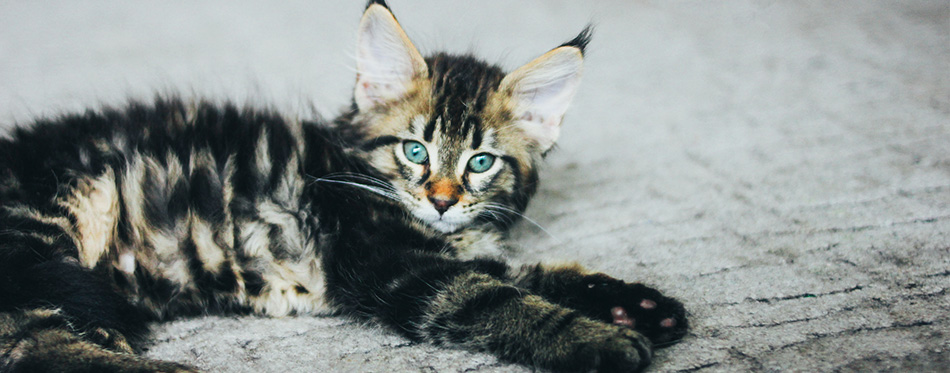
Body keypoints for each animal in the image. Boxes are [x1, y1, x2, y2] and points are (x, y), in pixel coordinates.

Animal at [0, 1, 688, 370]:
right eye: (415, 151)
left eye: (480, 163)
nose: (442, 200)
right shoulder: (400, 270)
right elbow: (504, 303)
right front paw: (602, 339)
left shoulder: (449, 253)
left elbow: (536, 274)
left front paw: (638, 305)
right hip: (49, 218)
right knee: (33, 344)